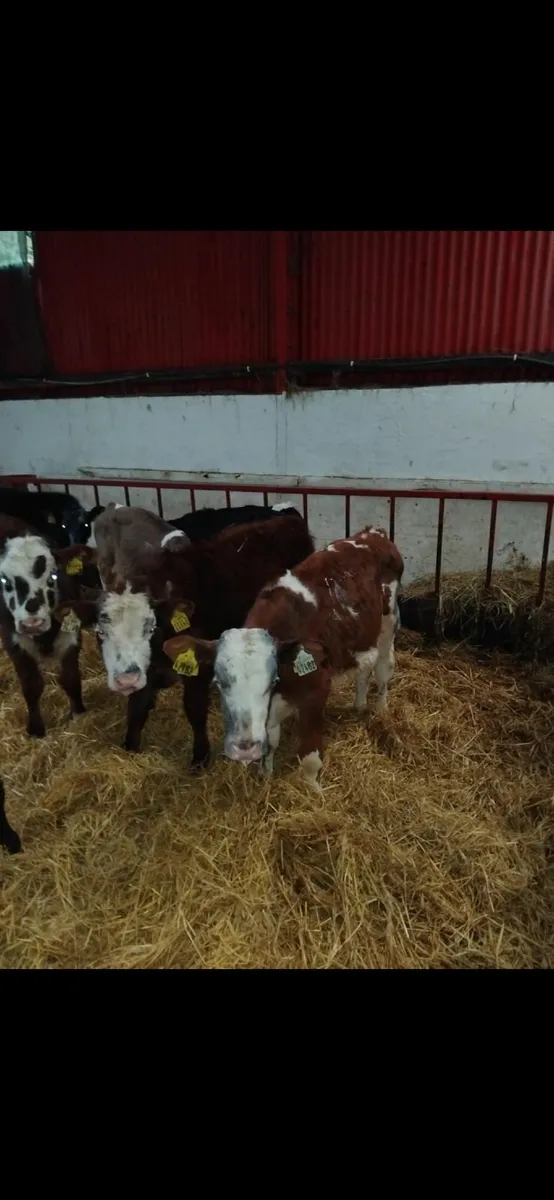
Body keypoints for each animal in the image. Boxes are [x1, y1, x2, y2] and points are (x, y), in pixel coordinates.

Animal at [0, 515, 98, 738]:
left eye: (53, 575)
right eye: (4, 581)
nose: (32, 623)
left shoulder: (71, 635)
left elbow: (71, 678)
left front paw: (78, 714)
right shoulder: (13, 643)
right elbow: (32, 686)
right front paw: (36, 729)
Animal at [82, 503, 314, 765]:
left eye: (150, 627)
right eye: (100, 632)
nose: (125, 681)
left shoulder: (197, 664)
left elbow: (194, 709)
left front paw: (200, 758)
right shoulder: (145, 669)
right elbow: (137, 706)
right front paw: (129, 746)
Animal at [162, 526, 404, 791]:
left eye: (271, 681)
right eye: (219, 684)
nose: (244, 748)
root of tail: (372, 533)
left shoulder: (316, 692)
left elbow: (309, 756)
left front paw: (314, 791)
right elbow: (270, 744)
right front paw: (265, 777)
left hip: (388, 622)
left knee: (383, 668)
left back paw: (381, 710)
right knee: (365, 669)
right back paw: (359, 705)